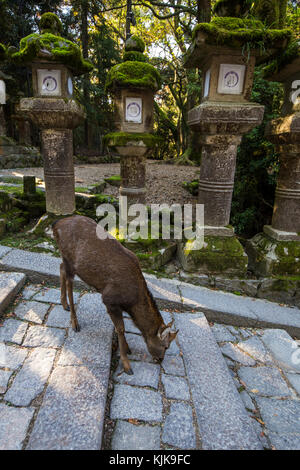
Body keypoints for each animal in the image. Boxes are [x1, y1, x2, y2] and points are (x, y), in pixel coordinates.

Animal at [52, 216, 178, 374]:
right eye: (166, 346)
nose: (160, 360)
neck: (131, 303)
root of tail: (56, 224)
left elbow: (121, 328)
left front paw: (128, 349)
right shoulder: (109, 299)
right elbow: (121, 329)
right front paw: (127, 365)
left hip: (65, 259)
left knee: (61, 267)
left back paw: (64, 304)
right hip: (69, 258)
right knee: (69, 284)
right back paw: (74, 322)